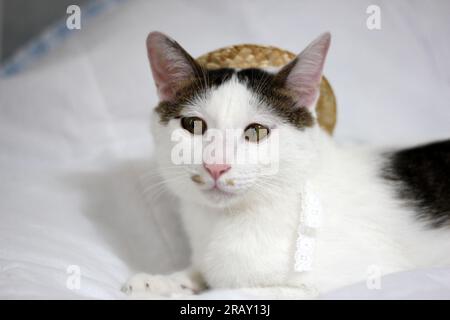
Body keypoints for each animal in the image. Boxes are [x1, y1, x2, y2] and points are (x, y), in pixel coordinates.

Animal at [122, 31, 450, 298]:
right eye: (193, 125)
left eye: (256, 131)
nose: (216, 166)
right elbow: (200, 272)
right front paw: (159, 282)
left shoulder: (363, 275)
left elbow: (240, 290)